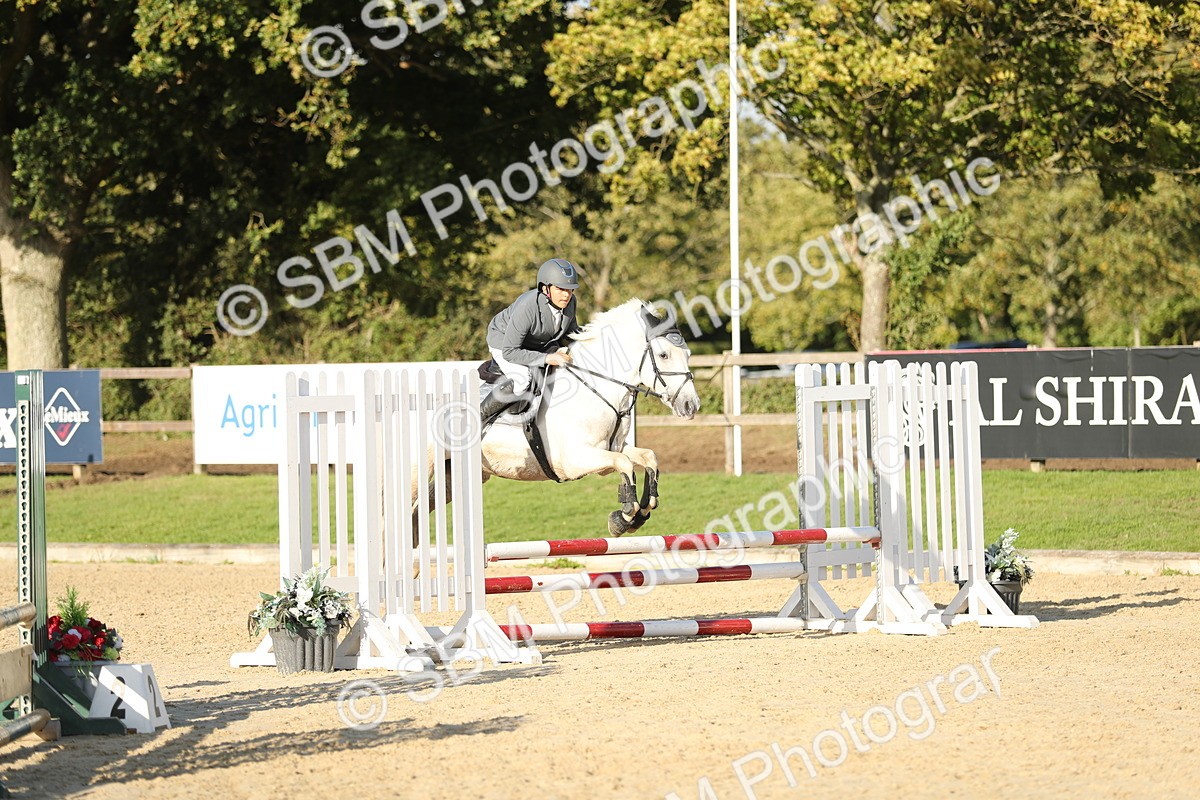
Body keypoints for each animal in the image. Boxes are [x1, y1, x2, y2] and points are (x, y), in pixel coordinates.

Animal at [478, 298, 701, 536]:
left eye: (687, 355)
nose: (691, 405)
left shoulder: (612, 448)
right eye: (663, 355)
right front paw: (623, 517)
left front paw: (640, 511)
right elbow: (624, 464)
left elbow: (648, 457)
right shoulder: (575, 459)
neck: (597, 388)